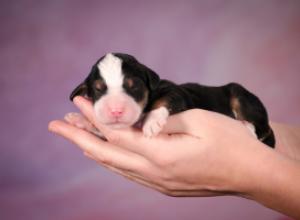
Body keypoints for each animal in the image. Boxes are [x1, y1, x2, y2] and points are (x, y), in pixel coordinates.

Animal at [69, 52, 276, 148]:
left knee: (261, 129)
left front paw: (151, 122)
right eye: (98, 90)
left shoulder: (177, 92)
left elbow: (165, 101)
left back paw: (246, 126)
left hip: (241, 96)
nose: (115, 111)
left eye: (133, 86)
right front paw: (79, 120)